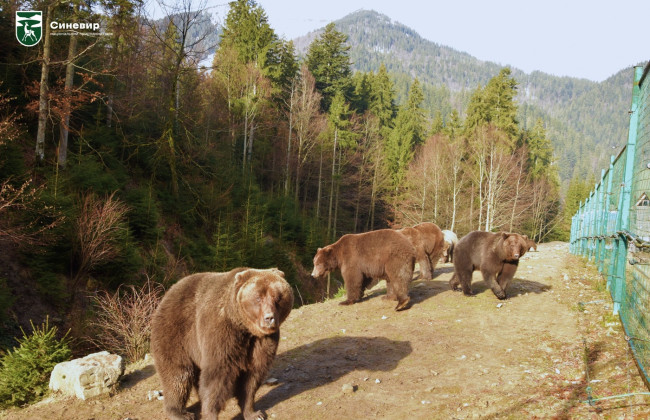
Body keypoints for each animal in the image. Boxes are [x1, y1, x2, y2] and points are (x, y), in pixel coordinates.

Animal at [149, 268, 292, 420]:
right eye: (258, 298)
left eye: (278, 297)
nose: (269, 318)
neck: (244, 327)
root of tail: (167, 294)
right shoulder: (221, 333)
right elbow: (217, 374)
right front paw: (210, 413)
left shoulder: (262, 342)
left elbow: (252, 376)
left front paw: (254, 413)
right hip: (175, 334)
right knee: (178, 375)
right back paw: (180, 413)